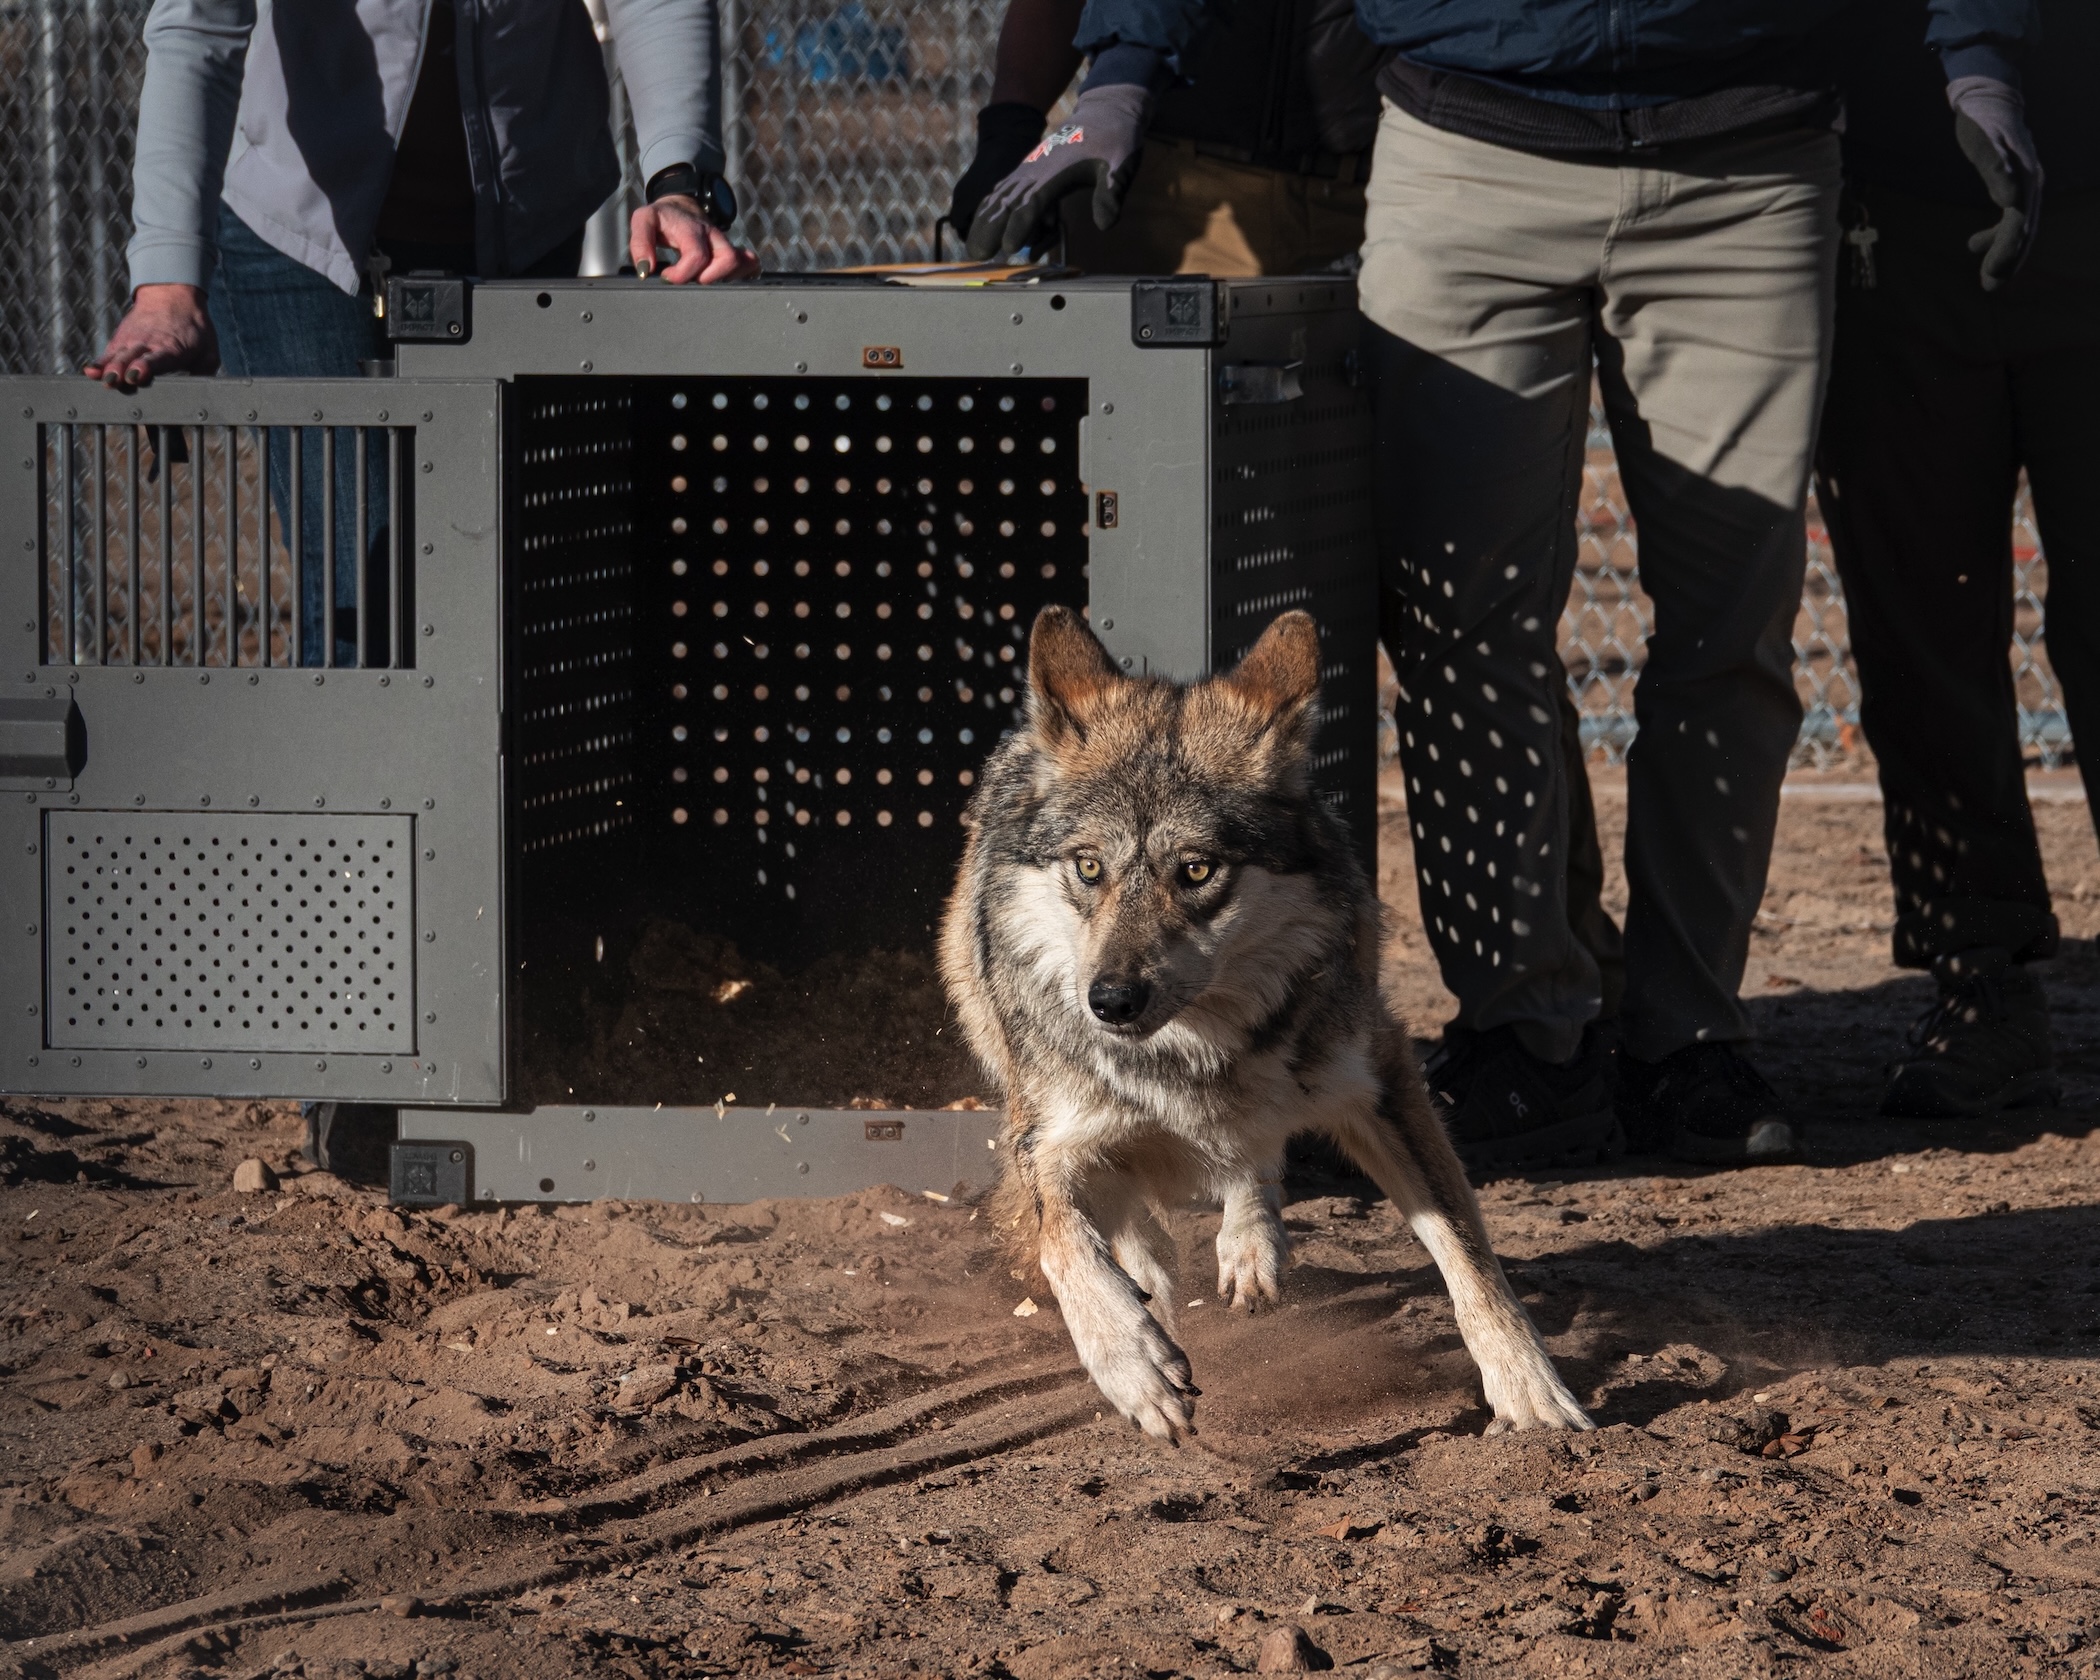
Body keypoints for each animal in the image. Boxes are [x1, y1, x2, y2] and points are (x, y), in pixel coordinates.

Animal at [939, 606, 1592, 1441]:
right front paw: (1134, 1363)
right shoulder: (1045, 1137)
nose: (1109, 1001)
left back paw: (1249, 1248)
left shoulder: (1383, 1081)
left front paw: (1530, 1390)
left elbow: (1469, 1254)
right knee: (1129, 1223)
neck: (1196, 1052)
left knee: (1255, 1157)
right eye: (1089, 868)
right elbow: (1065, 1244)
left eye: (1196, 871)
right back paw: (1154, 1283)